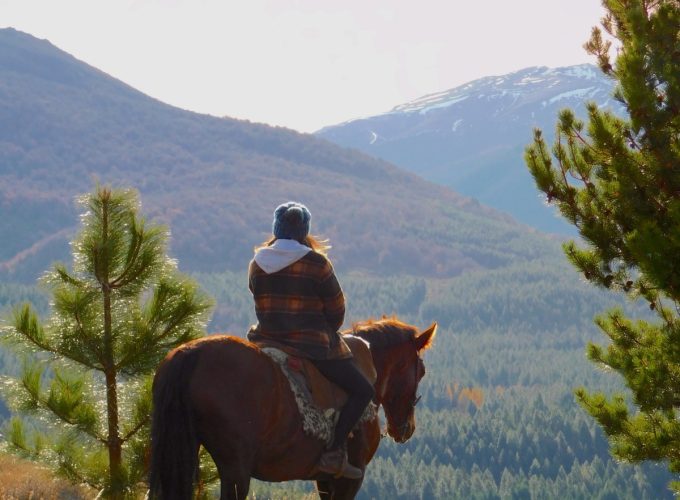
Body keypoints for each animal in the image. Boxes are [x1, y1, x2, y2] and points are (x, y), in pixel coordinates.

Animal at [148, 318, 436, 498]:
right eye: (421, 371)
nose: (406, 428)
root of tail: (191, 352)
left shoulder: (325, 479)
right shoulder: (350, 479)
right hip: (235, 469)